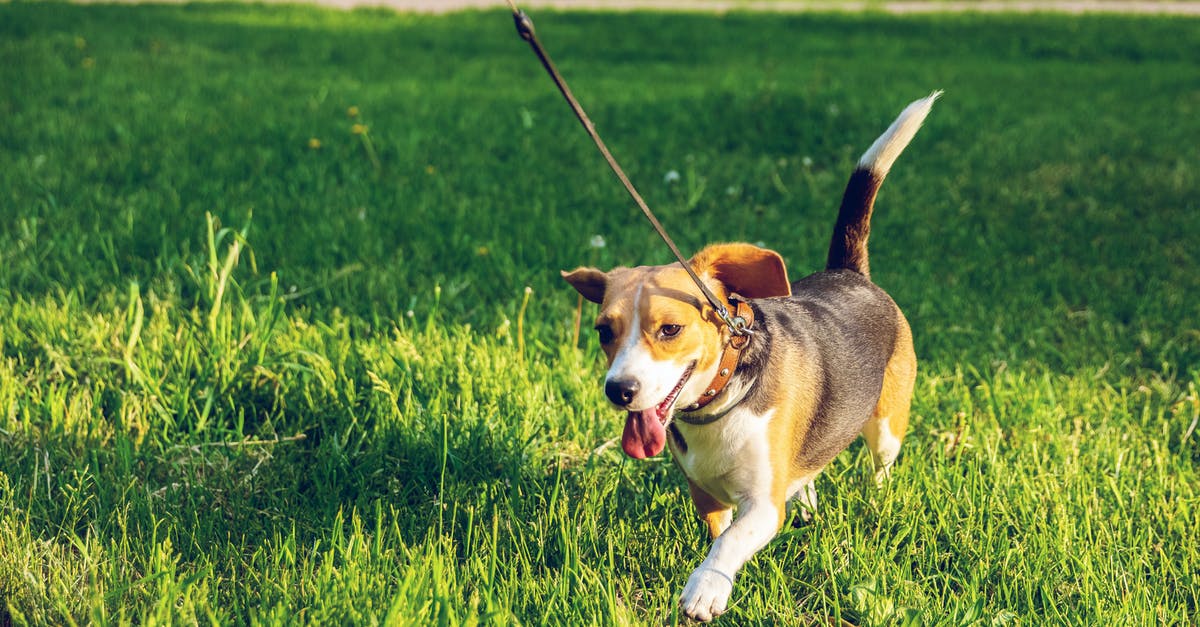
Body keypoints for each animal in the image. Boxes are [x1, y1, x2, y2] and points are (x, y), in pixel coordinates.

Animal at [561, 92, 936, 619]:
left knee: (880, 466)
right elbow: (719, 532)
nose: (619, 390)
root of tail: (848, 272)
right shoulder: (705, 494)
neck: (719, 401)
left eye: (670, 329)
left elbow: (731, 542)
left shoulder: (762, 504)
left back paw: (875, 502)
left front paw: (706, 587)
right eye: (602, 332)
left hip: (887, 425)